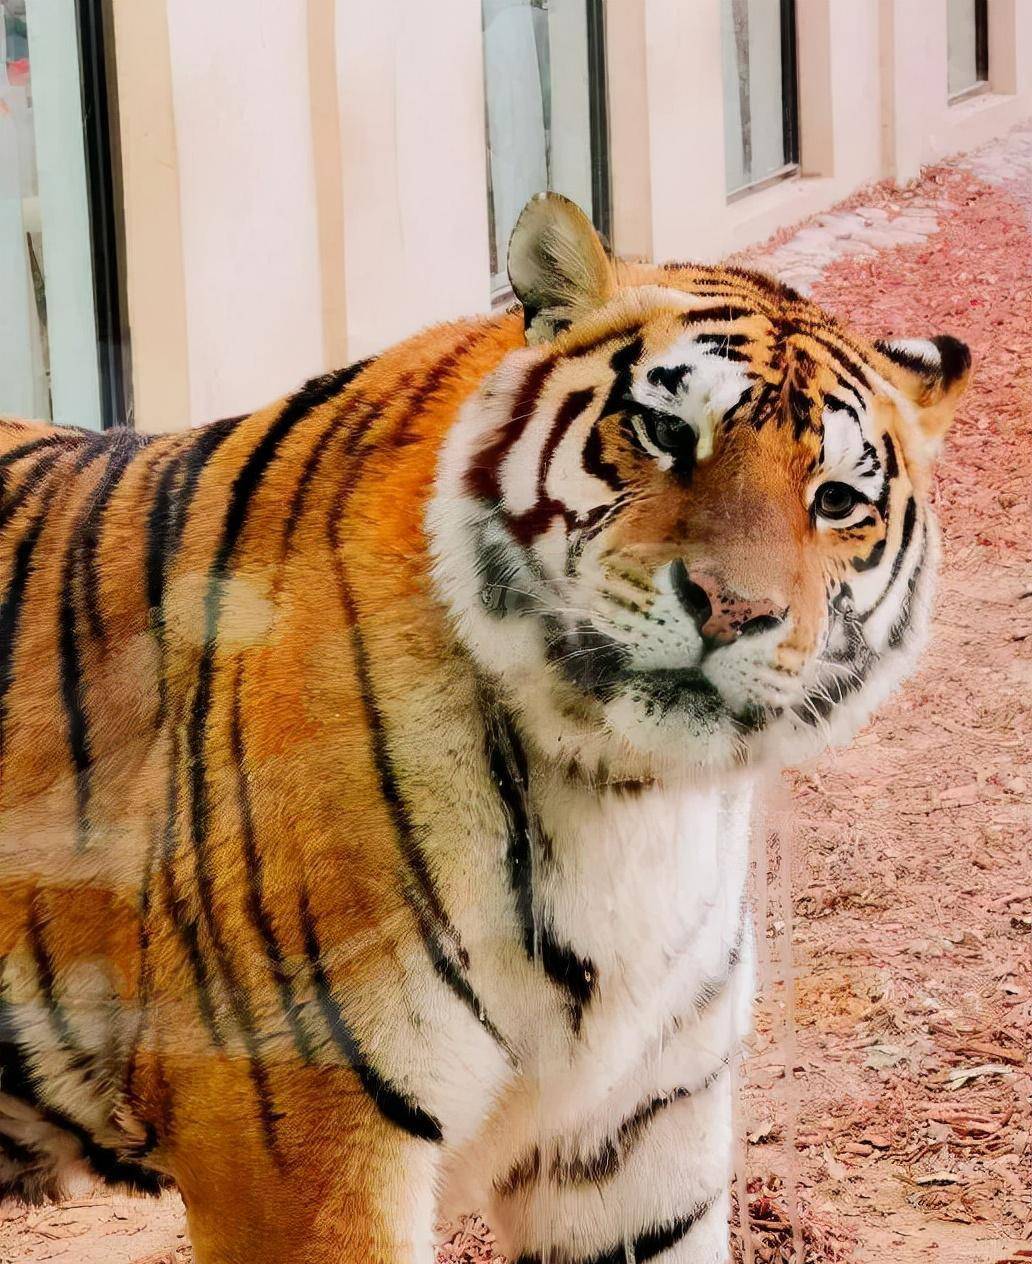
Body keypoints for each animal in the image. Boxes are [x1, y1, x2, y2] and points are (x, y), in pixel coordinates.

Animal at [0, 189, 966, 1264]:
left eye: (836, 500)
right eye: (666, 431)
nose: (732, 607)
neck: (626, 797)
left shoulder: (640, 1136)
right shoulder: (297, 1142)